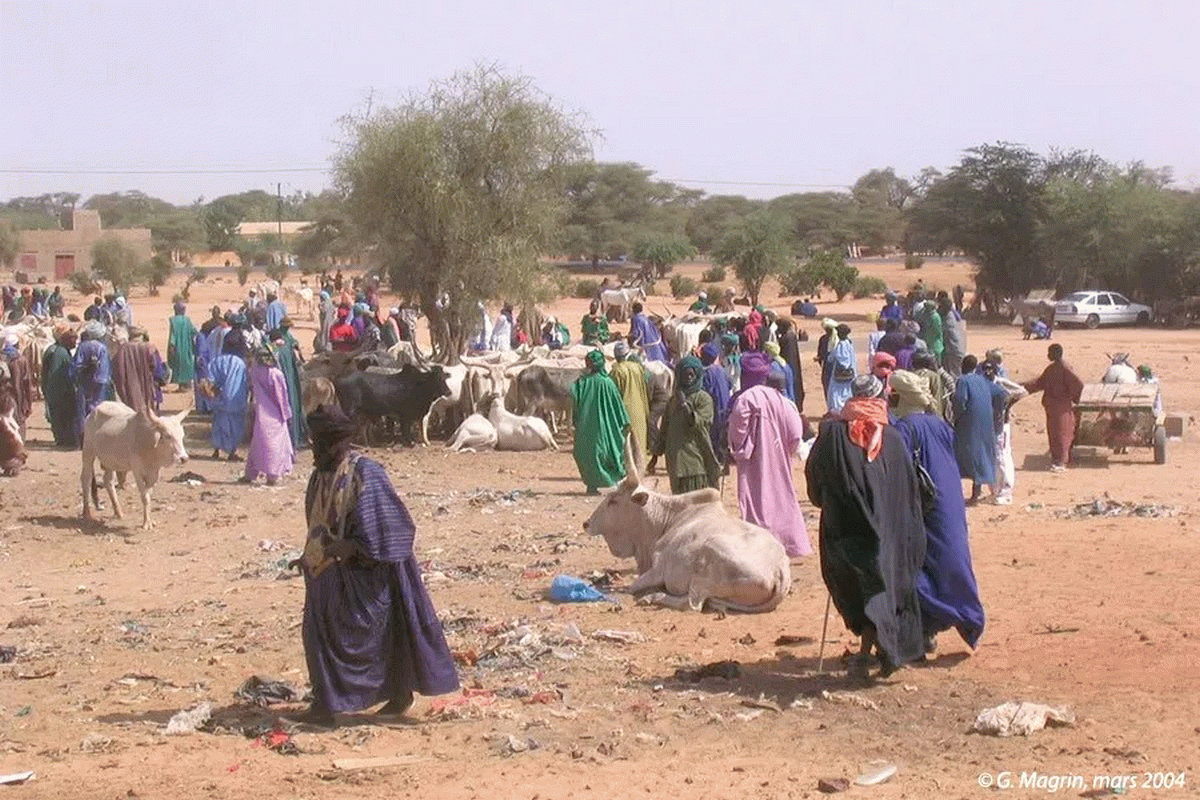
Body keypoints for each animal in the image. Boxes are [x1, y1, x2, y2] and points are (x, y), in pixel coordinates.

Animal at [583, 431, 792, 614]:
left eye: (613, 500)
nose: (586, 524)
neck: (665, 521)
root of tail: (779, 572)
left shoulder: (659, 569)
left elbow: (632, 586)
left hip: (705, 571)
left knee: (692, 604)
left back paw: (652, 597)